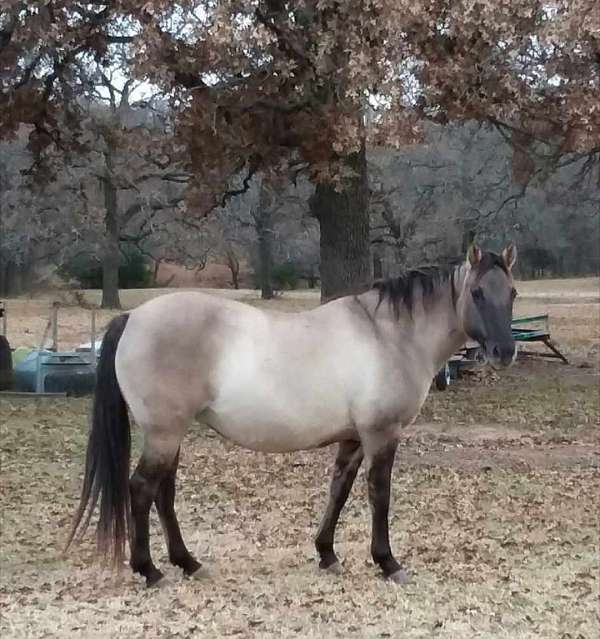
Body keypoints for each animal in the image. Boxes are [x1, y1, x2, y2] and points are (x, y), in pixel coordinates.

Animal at [64, 242, 516, 588]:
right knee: (142, 489)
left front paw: (327, 554)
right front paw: (388, 562)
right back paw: (151, 571)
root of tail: (134, 318)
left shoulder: (353, 438)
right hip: (164, 433)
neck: (387, 334)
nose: (505, 352)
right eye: (477, 292)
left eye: (511, 293)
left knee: (163, 493)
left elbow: (339, 491)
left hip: (170, 436)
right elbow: (379, 496)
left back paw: (187, 563)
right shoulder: (381, 434)